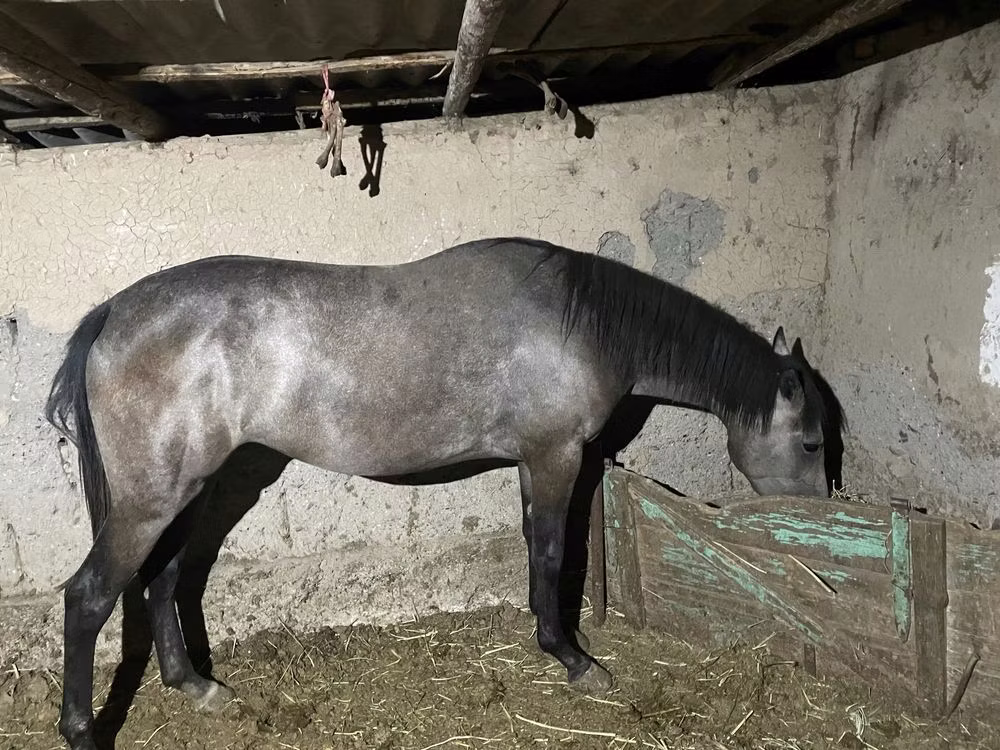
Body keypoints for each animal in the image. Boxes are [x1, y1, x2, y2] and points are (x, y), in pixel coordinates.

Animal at [45, 236, 841, 750]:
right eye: (810, 442)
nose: (822, 514)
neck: (581, 323)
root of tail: (113, 313)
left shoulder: (532, 461)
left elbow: (534, 550)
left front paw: (551, 642)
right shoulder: (559, 456)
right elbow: (555, 554)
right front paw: (574, 659)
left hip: (193, 489)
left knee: (164, 578)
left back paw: (196, 686)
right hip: (153, 501)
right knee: (90, 597)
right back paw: (84, 731)